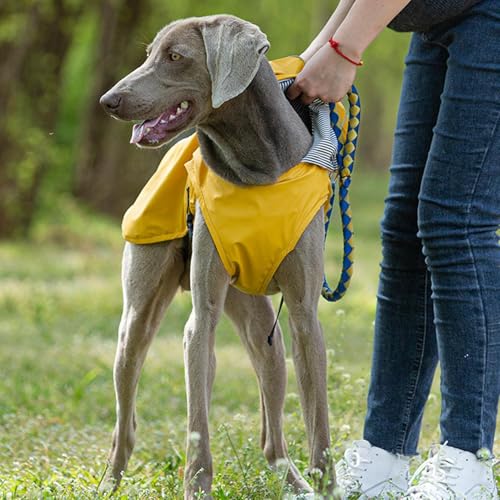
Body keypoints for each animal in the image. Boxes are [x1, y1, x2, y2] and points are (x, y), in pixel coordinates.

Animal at [100, 13, 336, 498]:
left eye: (175, 56)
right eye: (149, 54)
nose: (108, 101)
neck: (254, 169)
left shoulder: (305, 316)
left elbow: (318, 423)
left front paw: (329, 486)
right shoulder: (202, 319)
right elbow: (197, 425)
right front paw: (197, 486)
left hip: (265, 334)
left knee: (272, 438)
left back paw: (296, 483)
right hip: (136, 323)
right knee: (124, 424)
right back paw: (108, 483)